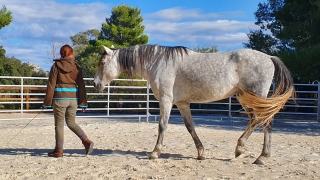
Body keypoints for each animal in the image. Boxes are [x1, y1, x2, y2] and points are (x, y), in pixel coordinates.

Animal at [92, 44, 296, 165]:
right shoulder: (182, 103)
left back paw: (254, 153)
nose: (95, 84)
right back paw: (251, 153)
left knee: (263, 121)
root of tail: (269, 57)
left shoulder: (166, 100)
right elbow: (190, 127)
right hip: (246, 98)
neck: (158, 62)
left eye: (102, 62)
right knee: (259, 121)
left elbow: (162, 126)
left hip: (255, 96)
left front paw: (155, 153)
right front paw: (201, 153)